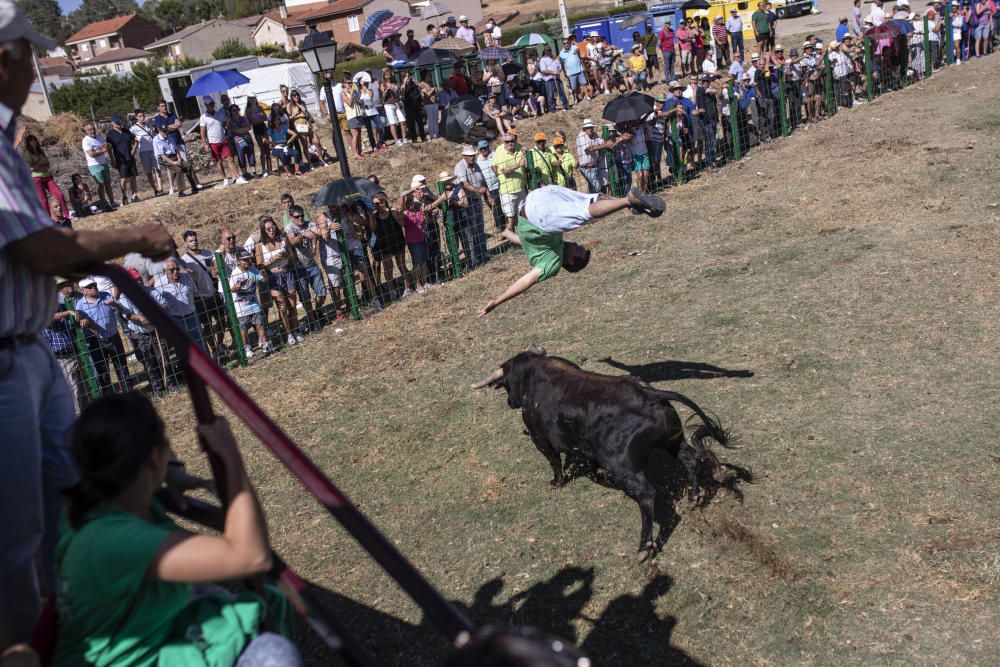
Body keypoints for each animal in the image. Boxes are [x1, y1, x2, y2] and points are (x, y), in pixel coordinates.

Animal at [472, 354, 740, 560]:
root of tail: (651, 395)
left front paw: (556, 482)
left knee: (647, 495)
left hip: (624, 467)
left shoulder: (542, 439)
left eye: (507, 384)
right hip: (673, 441)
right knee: (690, 460)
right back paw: (695, 497)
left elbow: (554, 462)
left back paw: (645, 547)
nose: (509, 401)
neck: (533, 375)